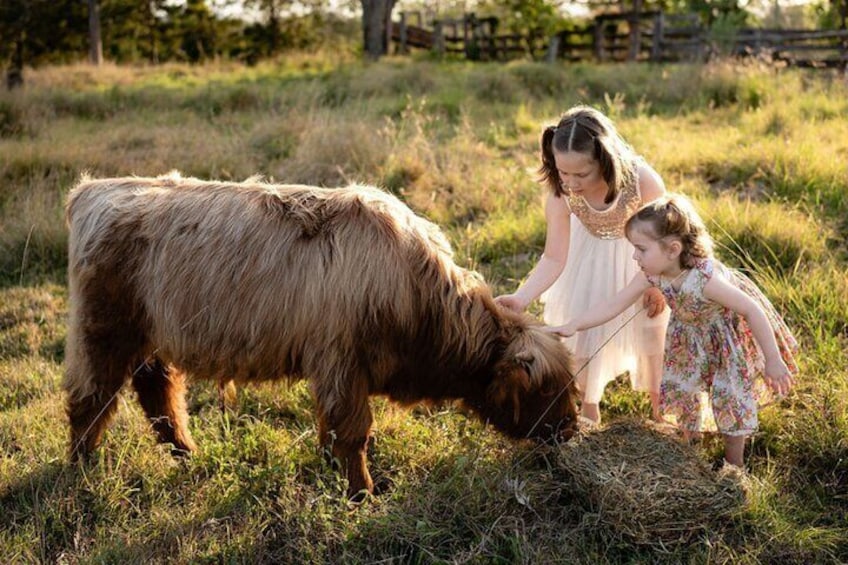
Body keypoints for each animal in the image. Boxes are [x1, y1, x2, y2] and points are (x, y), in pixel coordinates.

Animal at [66, 173, 580, 498]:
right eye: (546, 389)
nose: (570, 430)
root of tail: (93, 189)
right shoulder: (341, 364)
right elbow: (352, 434)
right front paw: (362, 494)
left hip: (153, 337)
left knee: (160, 392)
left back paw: (186, 454)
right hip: (103, 331)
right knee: (90, 399)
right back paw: (80, 470)